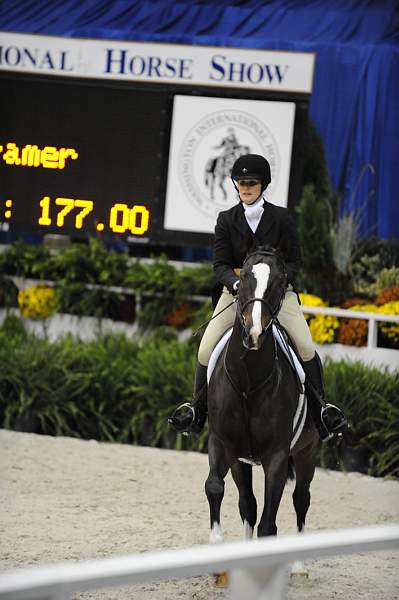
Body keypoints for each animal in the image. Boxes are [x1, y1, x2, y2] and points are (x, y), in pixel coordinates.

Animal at [206, 246, 318, 548]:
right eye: (243, 276)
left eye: (280, 281)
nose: (254, 332)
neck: (248, 383)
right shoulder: (222, 443)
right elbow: (214, 487)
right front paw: (216, 540)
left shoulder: (277, 456)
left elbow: (269, 525)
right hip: (241, 462)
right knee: (248, 504)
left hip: (306, 452)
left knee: (301, 499)